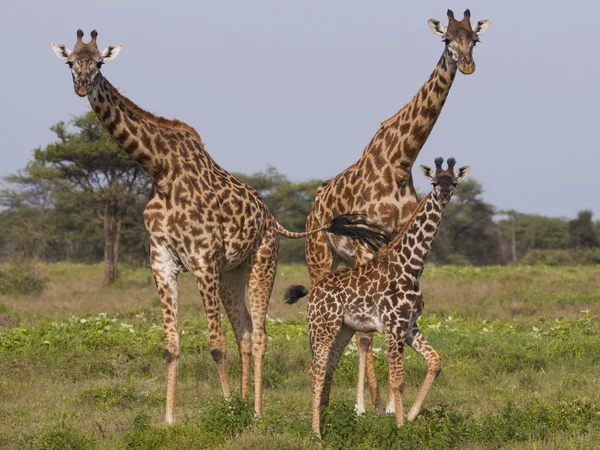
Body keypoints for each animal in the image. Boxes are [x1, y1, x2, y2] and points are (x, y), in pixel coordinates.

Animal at [50, 29, 390, 424]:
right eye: (70, 63)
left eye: (99, 63)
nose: (81, 85)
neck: (160, 171)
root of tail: (272, 219)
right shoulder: (162, 260)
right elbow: (171, 344)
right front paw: (169, 419)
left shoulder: (202, 260)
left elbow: (215, 344)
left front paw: (226, 409)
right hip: (232, 273)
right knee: (243, 330)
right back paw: (245, 400)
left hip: (262, 262)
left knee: (258, 334)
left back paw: (255, 411)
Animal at [284, 157, 468, 436]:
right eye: (435, 183)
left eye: (454, 183)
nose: (445, 195)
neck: (410, 265)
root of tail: (312, 292)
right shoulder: (393, 325)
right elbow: (397, 380)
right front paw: (400, 427)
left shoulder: (409, 325)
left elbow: (435, 361)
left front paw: (411, 416)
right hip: (323, 327)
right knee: (315, 371)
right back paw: (316, 433)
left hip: (343, 329)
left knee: (328, 369)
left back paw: (326, 426)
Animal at [302, 8, 490, 414]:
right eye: (446, 39)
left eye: (475, 39)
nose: (467, 65)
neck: (400, 162)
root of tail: (313, 210)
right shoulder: (364, 246)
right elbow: (366, 335)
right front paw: (367, 407)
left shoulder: (399, 245)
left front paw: (388, 405)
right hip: (321, 257)